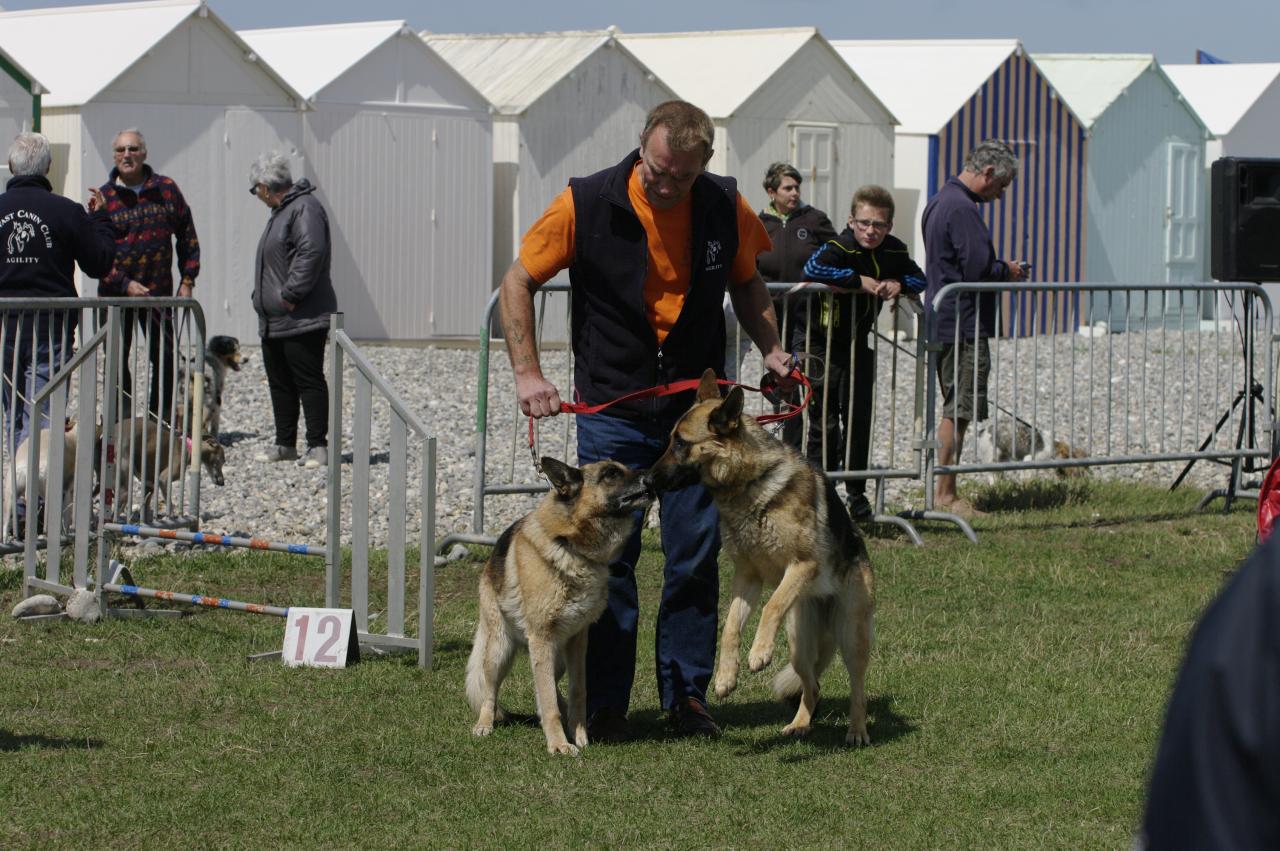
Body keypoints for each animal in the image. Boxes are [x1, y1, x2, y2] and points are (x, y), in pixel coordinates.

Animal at [465, 455, 655, 752]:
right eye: (610, 474)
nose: (653, 476)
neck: (571, 546)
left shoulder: (577, 641)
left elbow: (577, 692)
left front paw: (579, 735)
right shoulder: (542, 638)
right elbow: (547, 701)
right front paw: (558, 745)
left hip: (556, 659)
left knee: (549, 688)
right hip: (500, 650)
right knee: (490, 691)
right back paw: (484, 724)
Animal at [655, 368, 875, 742]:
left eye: (681, 443)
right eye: (671, 438)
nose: (646, 480)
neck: (747, 485)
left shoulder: (802, 565)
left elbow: (771, 605)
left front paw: (758, 653)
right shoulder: (747, 578)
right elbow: (730, 626)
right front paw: (726, 677)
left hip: (851, 635)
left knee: (857, 686)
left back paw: (857, 731)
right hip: (800, 642)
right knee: (812, 685)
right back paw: (800, 724)